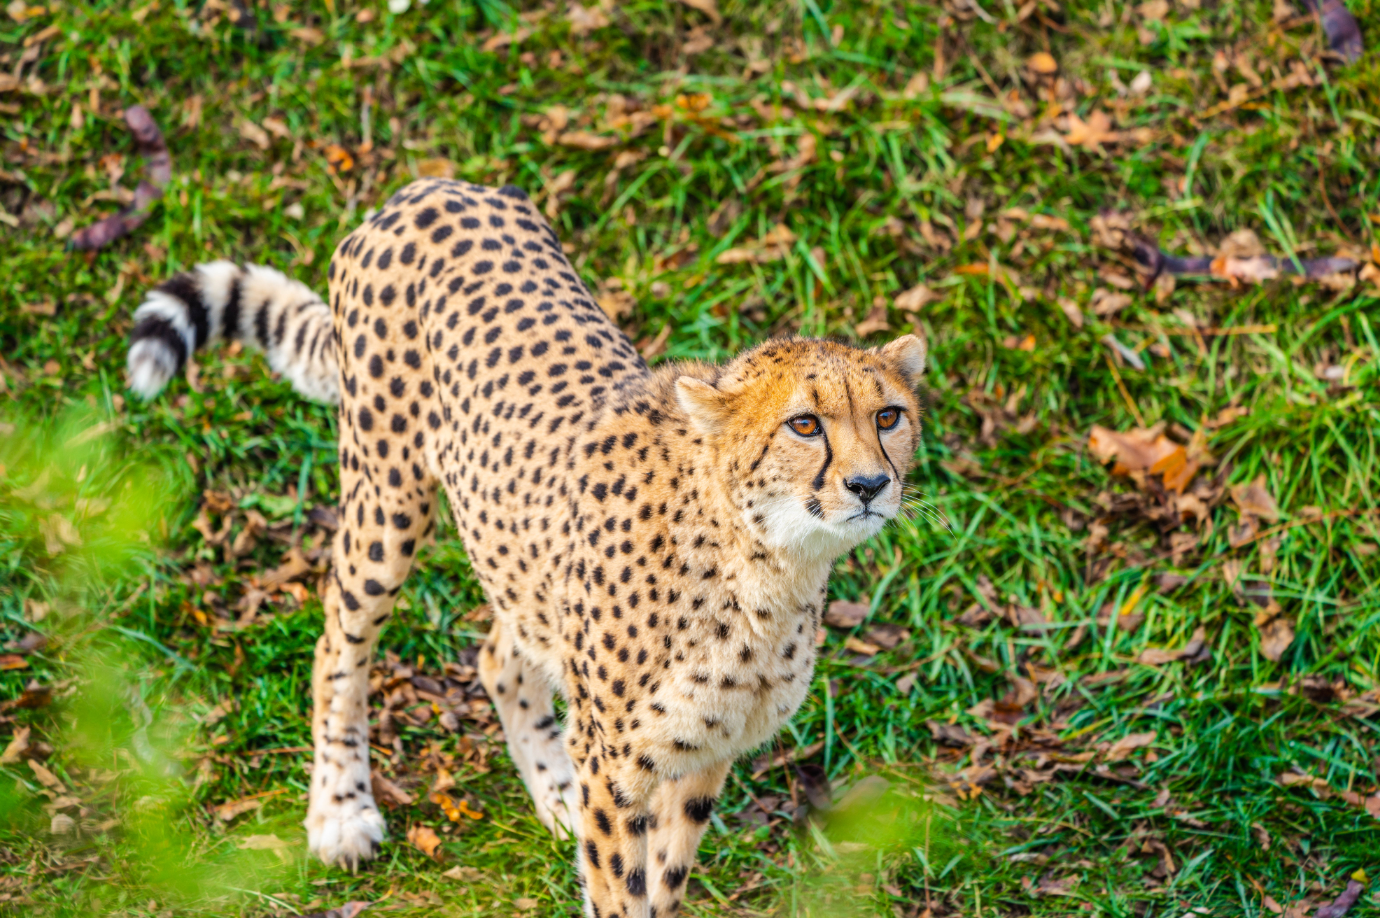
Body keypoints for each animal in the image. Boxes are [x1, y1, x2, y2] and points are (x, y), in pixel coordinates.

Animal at [126, 178, 927, 918]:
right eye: (804, 425)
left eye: (888, 416)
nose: (869, 484)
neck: (767, 567)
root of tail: (430, 186)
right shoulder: (620, 765)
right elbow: (621, 889)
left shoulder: (705, 754)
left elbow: (664, 881)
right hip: (386, 497)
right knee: (337, 646)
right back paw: (340, 811)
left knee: (499, 657)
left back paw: (554, 790)